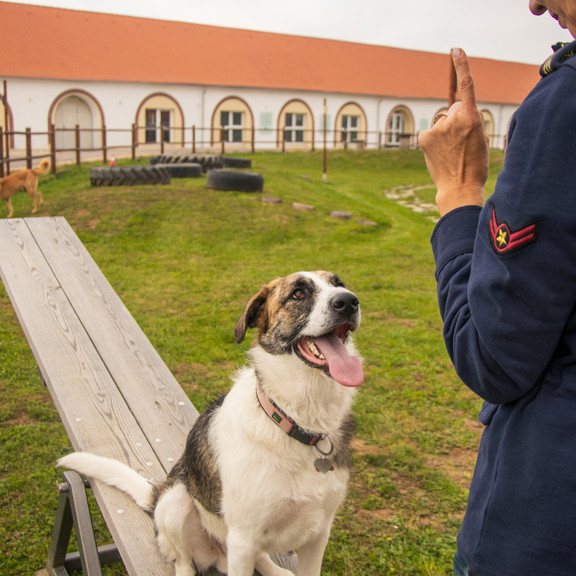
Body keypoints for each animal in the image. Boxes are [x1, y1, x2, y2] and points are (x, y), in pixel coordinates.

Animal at [58, 272, 364, 576]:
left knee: (260, 557)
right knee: (183, 560)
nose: (349, 301)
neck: (295, 420)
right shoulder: (243, 537)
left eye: (338, 284)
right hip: (177, 503)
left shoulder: (319, 532)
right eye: (298, 293)